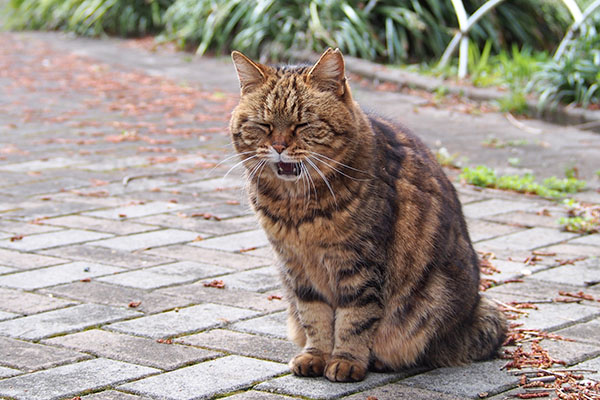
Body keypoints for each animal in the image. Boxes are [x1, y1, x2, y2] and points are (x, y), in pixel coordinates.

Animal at [229, 48, 506, 382]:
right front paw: (316, 355)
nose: (279, 146)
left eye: (303, 124)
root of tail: (472, 312)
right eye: (264, 124)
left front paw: (346, 360)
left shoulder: (360, 265)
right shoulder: (297, 267)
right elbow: (314, 317)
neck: (297, 209)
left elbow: (355, 319)